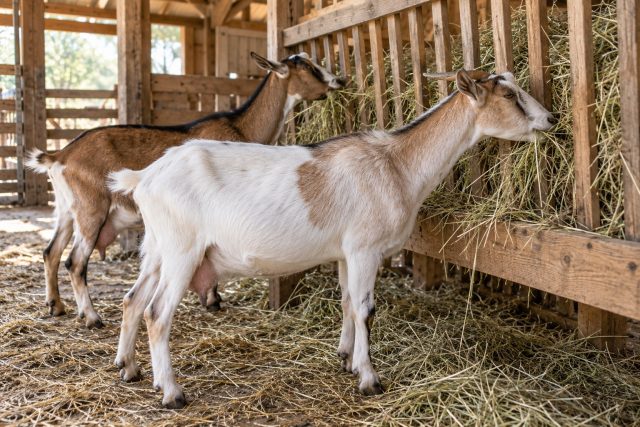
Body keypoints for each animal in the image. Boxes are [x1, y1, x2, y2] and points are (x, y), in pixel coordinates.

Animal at [26, 52, 345, 329]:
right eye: (309, 67)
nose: (340, 81)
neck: (241, 127)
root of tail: (61, 155)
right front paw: (212, 299)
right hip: (92, 208)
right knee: (75, 261)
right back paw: (92, 317)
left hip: (67, 209)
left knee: (51, 252)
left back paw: (56, 306)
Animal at [109, 70, 557, 408]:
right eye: (510, 94)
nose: (551, 119)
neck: (397, 164)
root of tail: (144, 177)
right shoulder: (365, 248)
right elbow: (365, 309)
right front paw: (370, 379)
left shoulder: (345, 252)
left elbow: (345, 300)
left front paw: (346, 358)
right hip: (182, 250)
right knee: (156, 314)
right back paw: (172, 393)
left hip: (157, 249)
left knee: (132, 301)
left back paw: (130, 370)